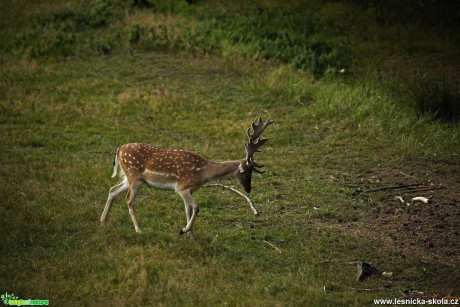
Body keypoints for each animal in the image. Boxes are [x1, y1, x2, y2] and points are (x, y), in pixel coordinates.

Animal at [100, 118, 274, 236]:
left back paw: (102, 221)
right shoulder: (181, 187)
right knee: (129, 199)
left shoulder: (190, 190)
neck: (202, 172)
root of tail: (119, 149)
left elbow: (188, 209)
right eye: (247, 173)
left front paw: (190, 234)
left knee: (113, 189)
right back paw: (139, 229)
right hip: (134, 176)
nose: (248, 189)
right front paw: (184, 230)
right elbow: (196, 207)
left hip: (129, 177)